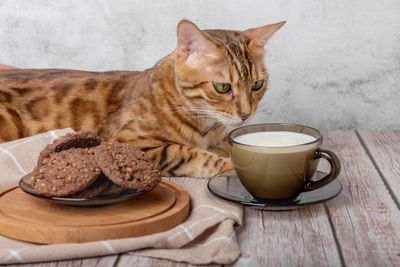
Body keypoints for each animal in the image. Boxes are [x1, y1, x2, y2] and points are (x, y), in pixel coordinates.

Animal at [1, 19, 286, 179]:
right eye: (222, 87)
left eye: (257, 84)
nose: (246, 114)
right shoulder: (125, 142)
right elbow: (188, 153)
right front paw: (229, 166)